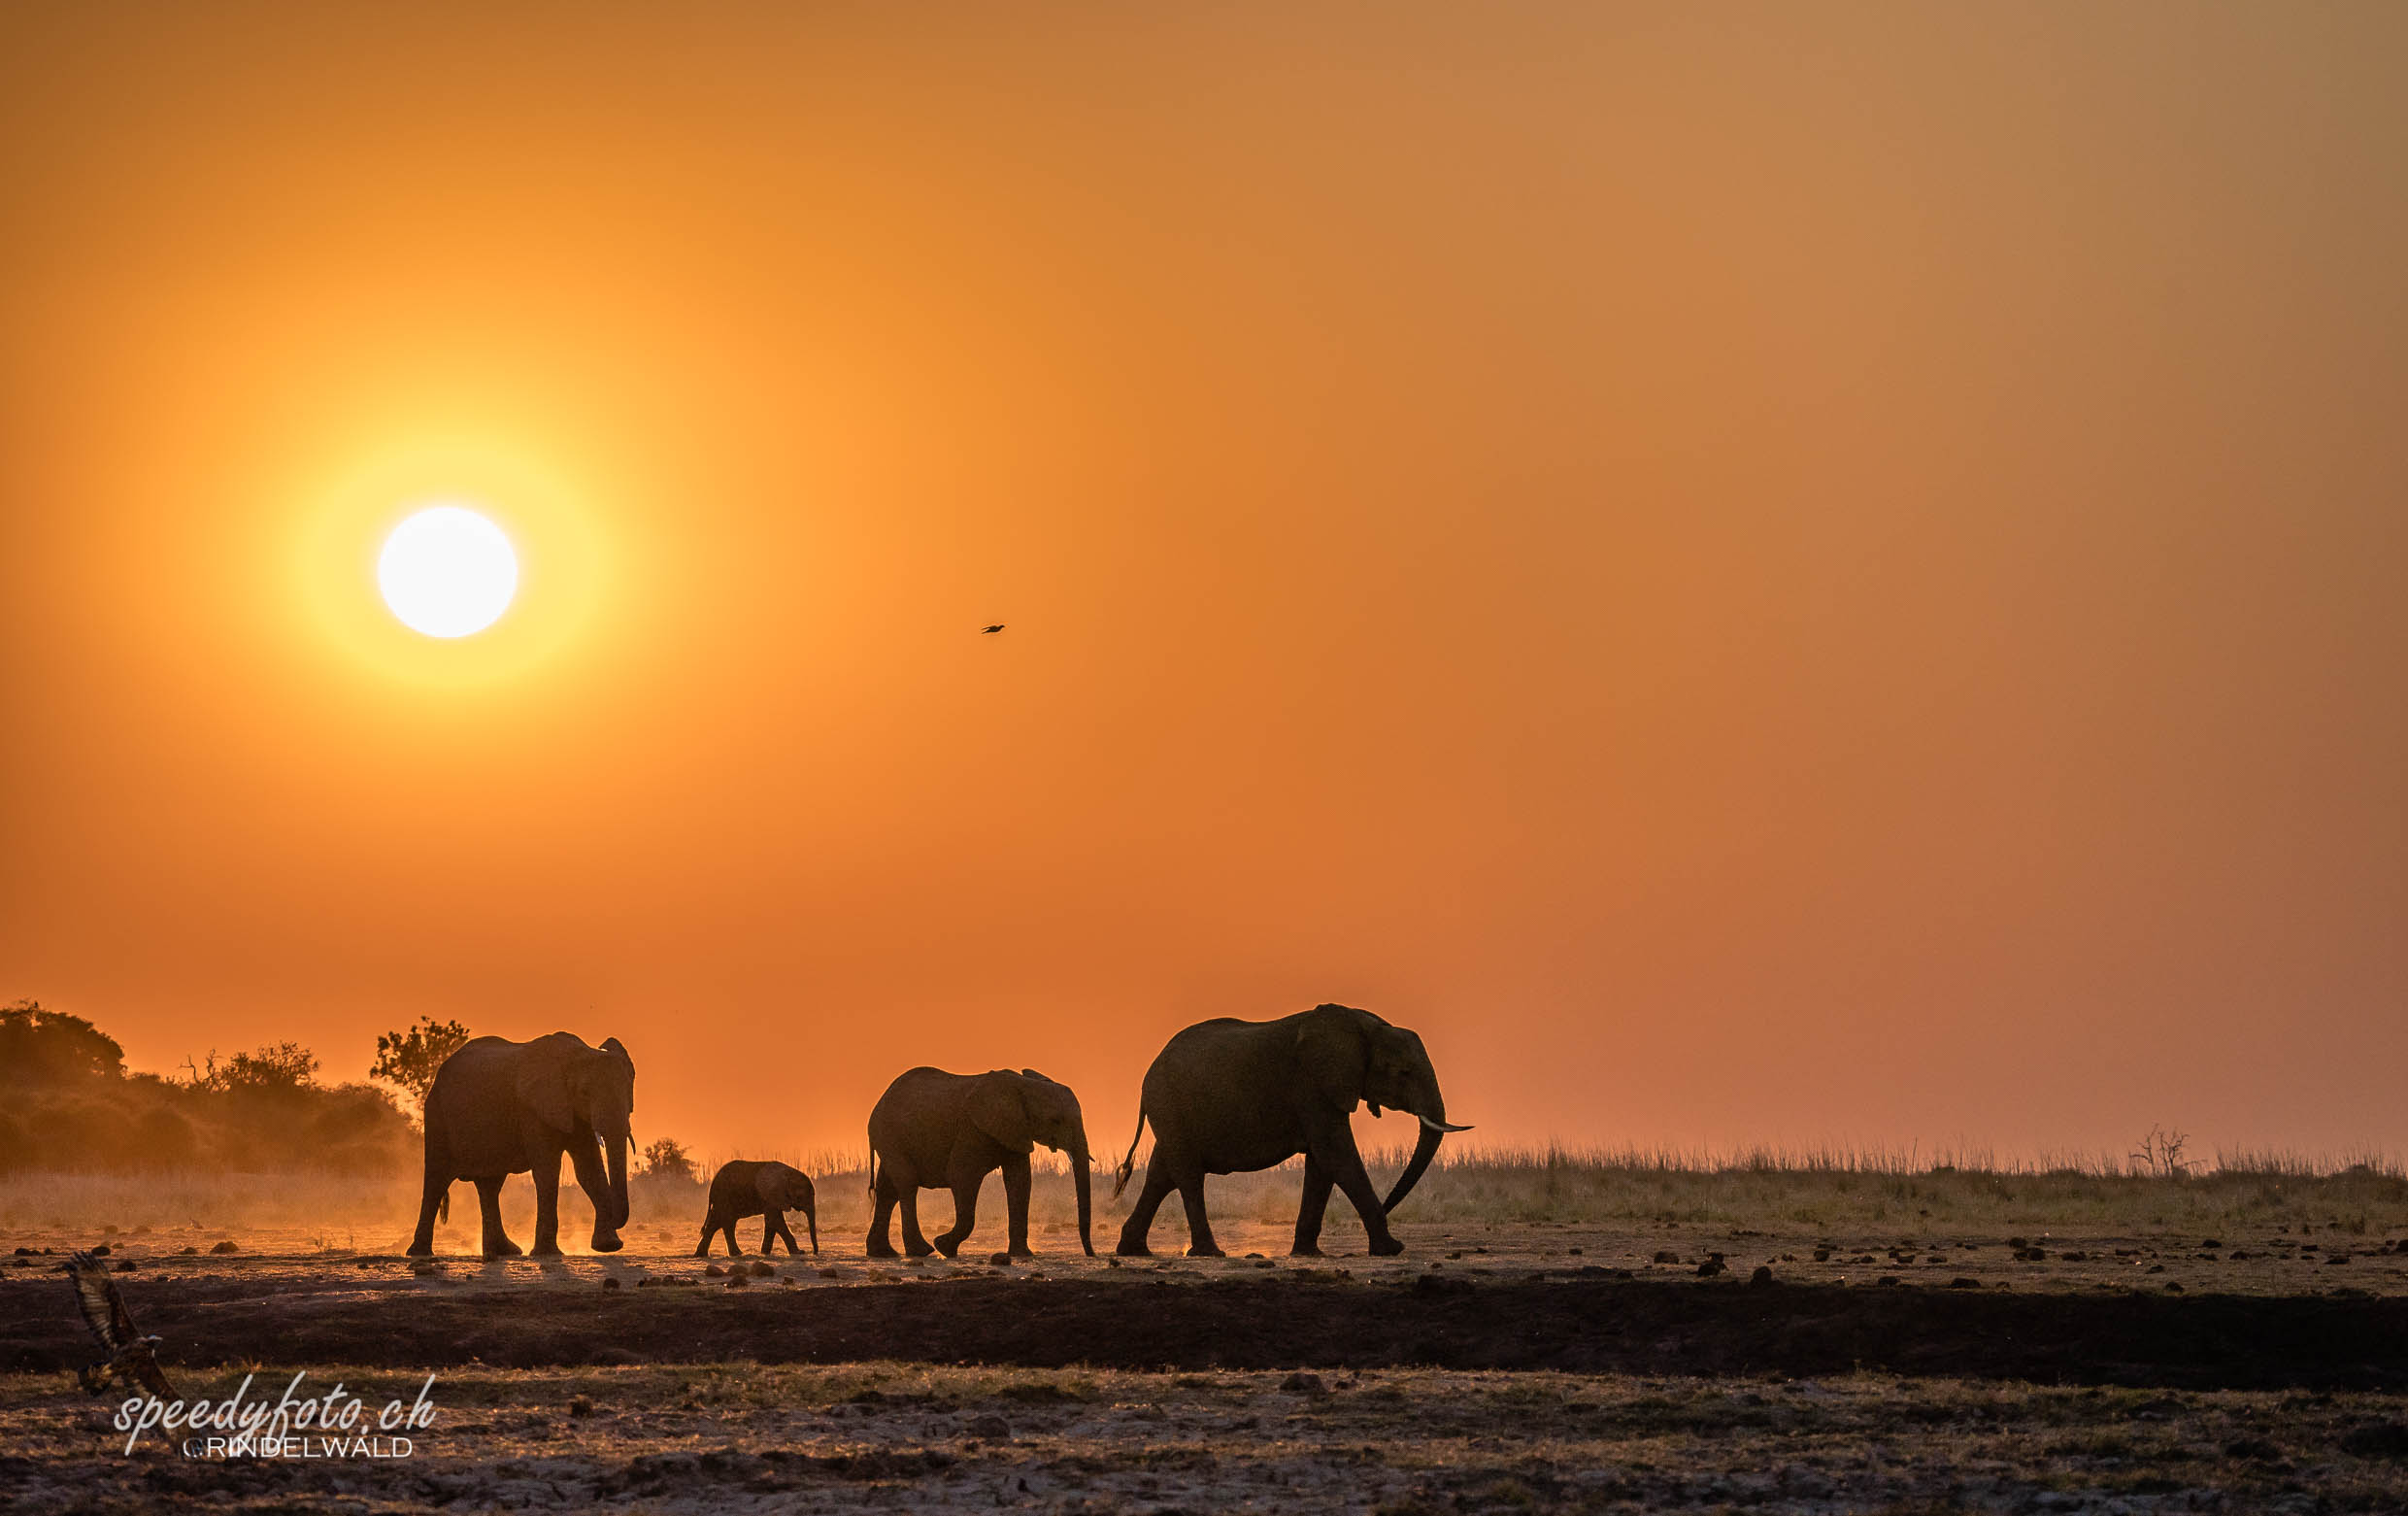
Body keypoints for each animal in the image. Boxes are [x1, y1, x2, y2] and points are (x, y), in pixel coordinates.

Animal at [404, 1027, 635, 1253]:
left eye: (629, 1090)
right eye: (585, 1092)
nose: (616, 1219)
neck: (578, 1053)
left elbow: (588, 1170)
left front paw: (608, 1246)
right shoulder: (532, 1110)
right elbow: (547, 1171)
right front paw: (547, 1253)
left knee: (490, 1185)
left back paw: (505, 1251)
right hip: (437, 1115)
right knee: (436, 1181)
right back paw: (419, 1252)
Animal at [866, 1069, 1092, 1263]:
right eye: (1056, 1121)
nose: (1092, 1254)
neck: (1024, 1085)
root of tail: (881, 1100)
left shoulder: (1016, 1131)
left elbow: (1020, 1182)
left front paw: (1023, 1255)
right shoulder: (973, 1129)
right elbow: (961, 1175)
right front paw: (944, 1247)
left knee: (888, 1191)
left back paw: (883, 1253)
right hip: (889, 1135)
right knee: (907, 1185)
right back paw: (922, 1251)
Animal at [1107, 997, 1463, 1263]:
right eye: (1403, 1072)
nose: (1389, 1205)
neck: (1362, 1024)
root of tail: (1148, 1076)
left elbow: (1322, 1163)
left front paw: (1309, 1254)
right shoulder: (1311, 1086)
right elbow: (1335, 1153)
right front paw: (1391, 1249)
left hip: (1172, 1115)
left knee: (1162, 1174)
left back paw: (1134, 1250)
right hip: (1171, 1107)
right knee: (1188, 1176)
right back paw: (1210, 1253)